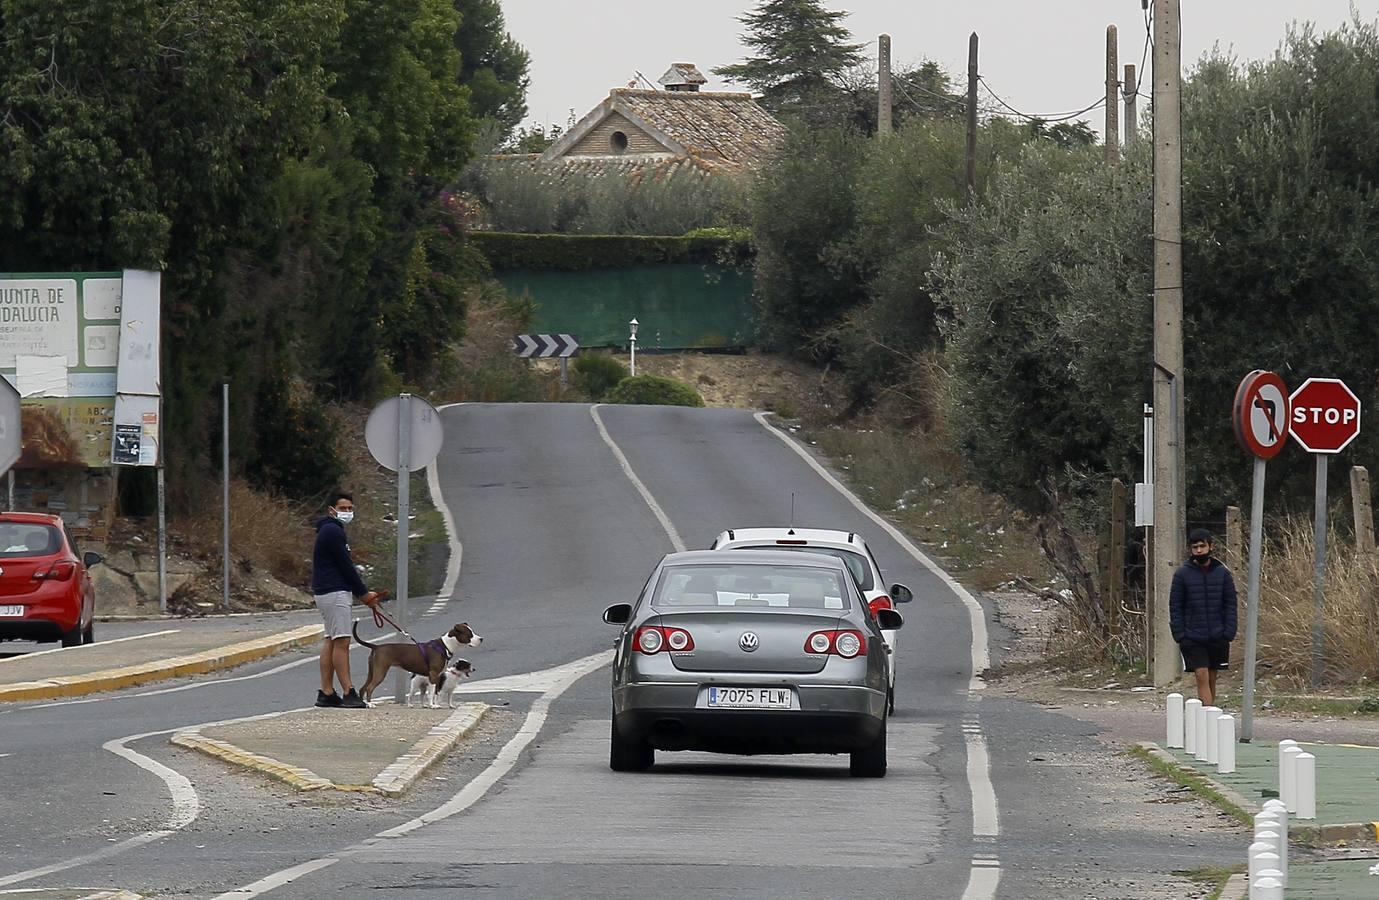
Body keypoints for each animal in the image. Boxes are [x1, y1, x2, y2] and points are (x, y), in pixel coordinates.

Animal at [350, 620, 485, 705]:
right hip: (380, 672)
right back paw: (370, 704)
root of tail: (376, 647)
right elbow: (432, 693)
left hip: (372, 671)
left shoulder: (437, 676)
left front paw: (434, 704)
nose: (481, 639)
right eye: (469, 634)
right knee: (369, 688)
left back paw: (364, 704)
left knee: (362, 688)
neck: (445, 645)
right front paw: (432, 705)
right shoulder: (433, 674)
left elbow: (435, 693)